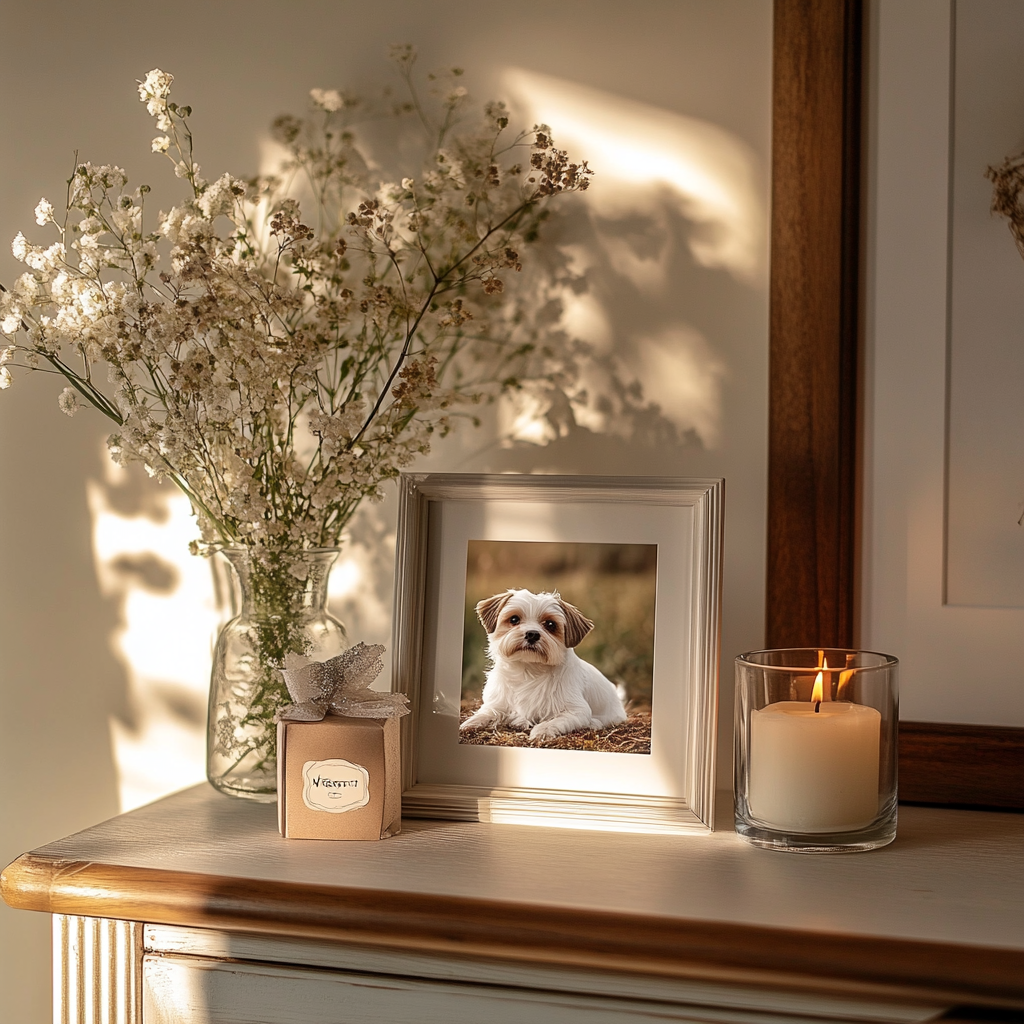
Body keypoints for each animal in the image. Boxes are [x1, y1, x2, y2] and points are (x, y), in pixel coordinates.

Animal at [462, 589, 622, 741]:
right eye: (514, 619)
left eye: (550, 624)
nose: (532, 634)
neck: (528, 670)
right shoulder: (497, 702)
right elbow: (486, 713)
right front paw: (471, 723)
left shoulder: (577, 711)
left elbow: (554, 721)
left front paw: (542, 731)